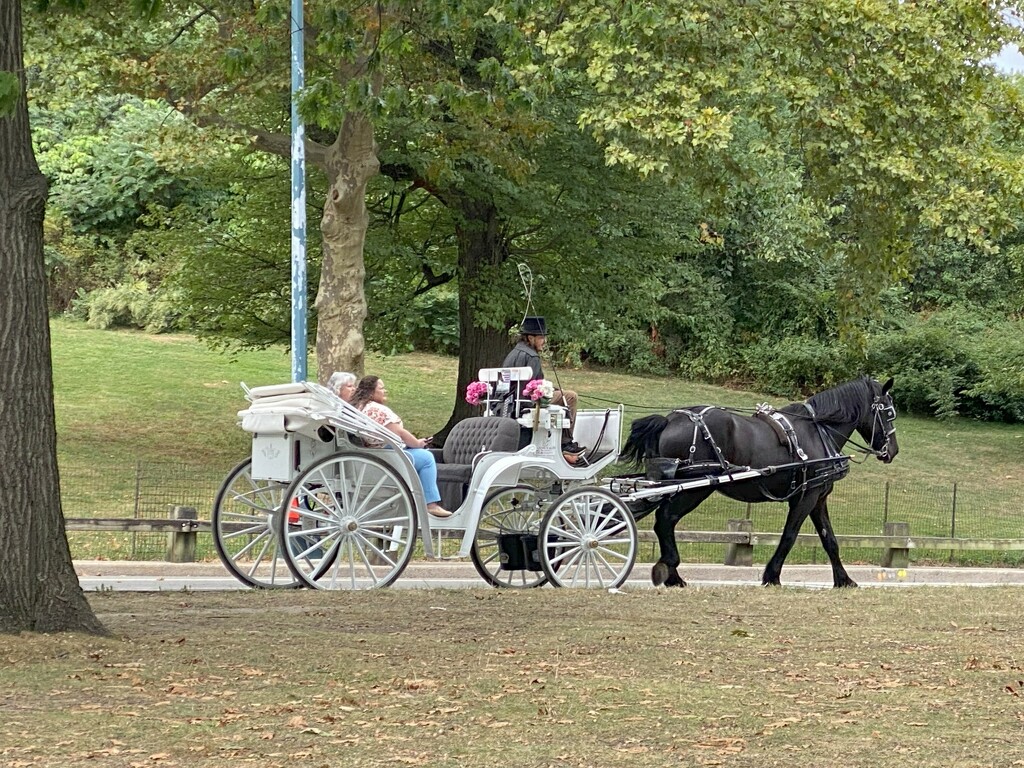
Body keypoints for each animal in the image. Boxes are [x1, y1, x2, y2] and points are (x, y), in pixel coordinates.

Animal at [614, 378, 897, 589]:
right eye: (889, 413)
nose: (892, 451)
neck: (819, 431)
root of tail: (670, 420)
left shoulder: (818, 498)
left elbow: (830, 540)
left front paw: (844, 580)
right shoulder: (805, 497)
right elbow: (789, 536)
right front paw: (772, 576)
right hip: (694, 488)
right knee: (665, 520)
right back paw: (672, 573)